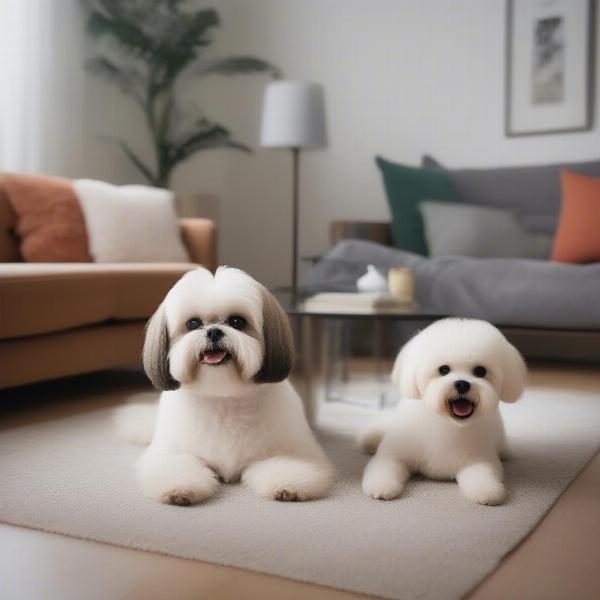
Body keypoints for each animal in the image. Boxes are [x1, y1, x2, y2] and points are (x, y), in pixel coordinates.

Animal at [115, 264, 336, 504]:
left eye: (237, 321)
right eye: (193, 323)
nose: (213, 331)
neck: (224, 398)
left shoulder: (289, 448)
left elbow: (285, 463)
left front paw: (287, 486)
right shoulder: (171, 452)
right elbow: (177, 466)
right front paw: (179, 490)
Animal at [360, 318, 524, 506]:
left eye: (480, 371)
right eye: (443, 369)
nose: (462, 384)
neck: (446, 423)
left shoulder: (478, 458)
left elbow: (483, 475)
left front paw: (487, 492)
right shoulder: (395, 454)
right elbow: (385, 466)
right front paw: (381, 487)